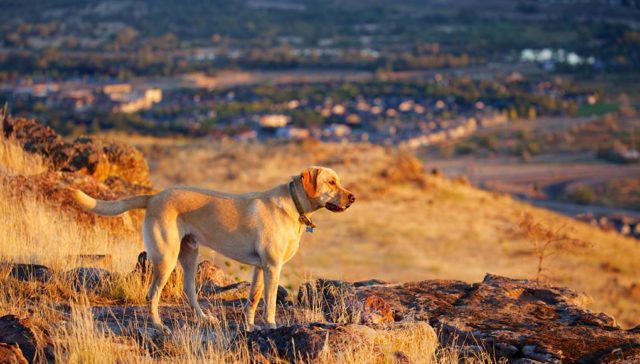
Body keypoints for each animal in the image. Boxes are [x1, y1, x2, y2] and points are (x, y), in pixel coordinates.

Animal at [74, 166, 360, 332]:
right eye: (331, 182)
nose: (353, 198)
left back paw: (203, 319)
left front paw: (251, 326)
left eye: (338, 181)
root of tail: (153, 197)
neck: (294, 204)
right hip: (165, 258)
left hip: (189, 255)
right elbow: (269, 302)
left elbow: (253, 298)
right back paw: (157, 324)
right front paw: (270, 324)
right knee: (152, 294)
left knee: (189, 290)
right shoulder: (272, 266)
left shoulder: (260, 267)